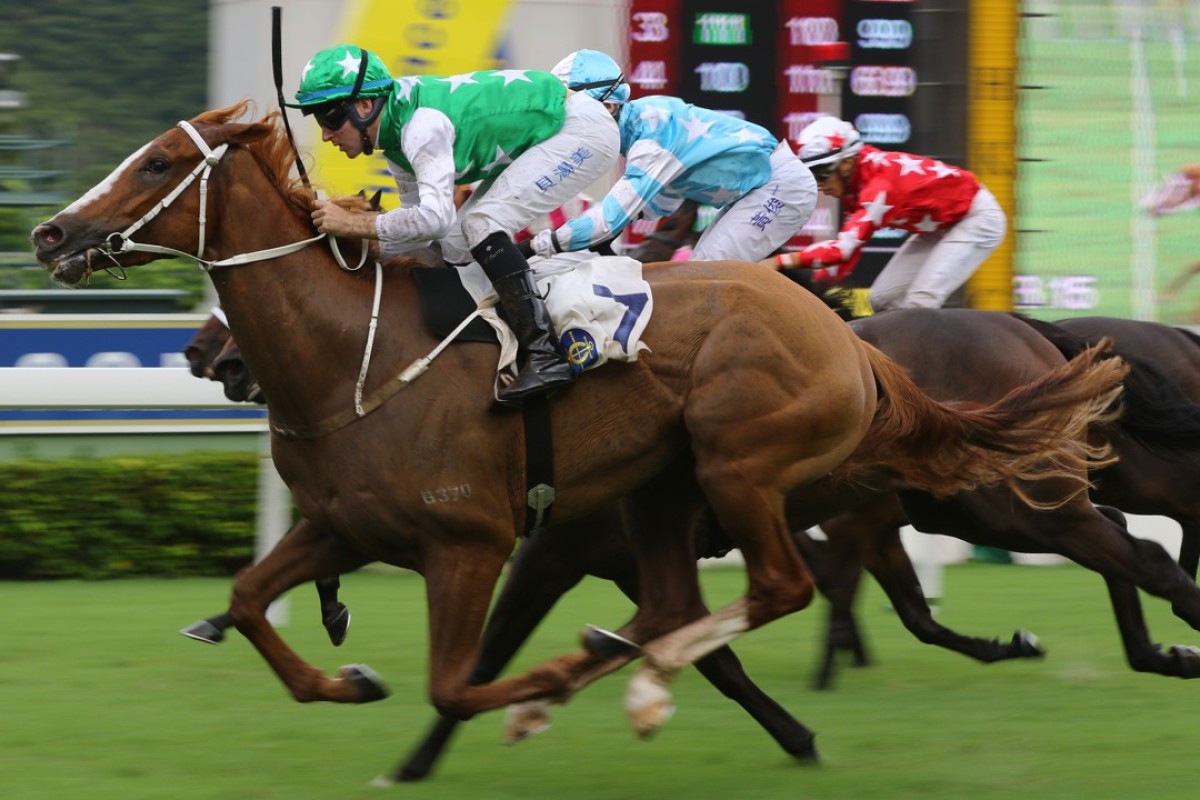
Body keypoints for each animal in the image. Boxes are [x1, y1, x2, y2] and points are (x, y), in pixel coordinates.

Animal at [30, 101, 1123, 767]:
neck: (355, 358)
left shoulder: (469, 543)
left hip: (741, 464)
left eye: (159, 162)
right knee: (693, 605)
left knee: (782, 585)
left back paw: (625, 682)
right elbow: (250, 602)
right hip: (665, 496)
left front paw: (537, 683)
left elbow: (454, 682)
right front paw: (345, 673)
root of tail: (851, 345)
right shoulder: (342, 524)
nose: (49, 234)